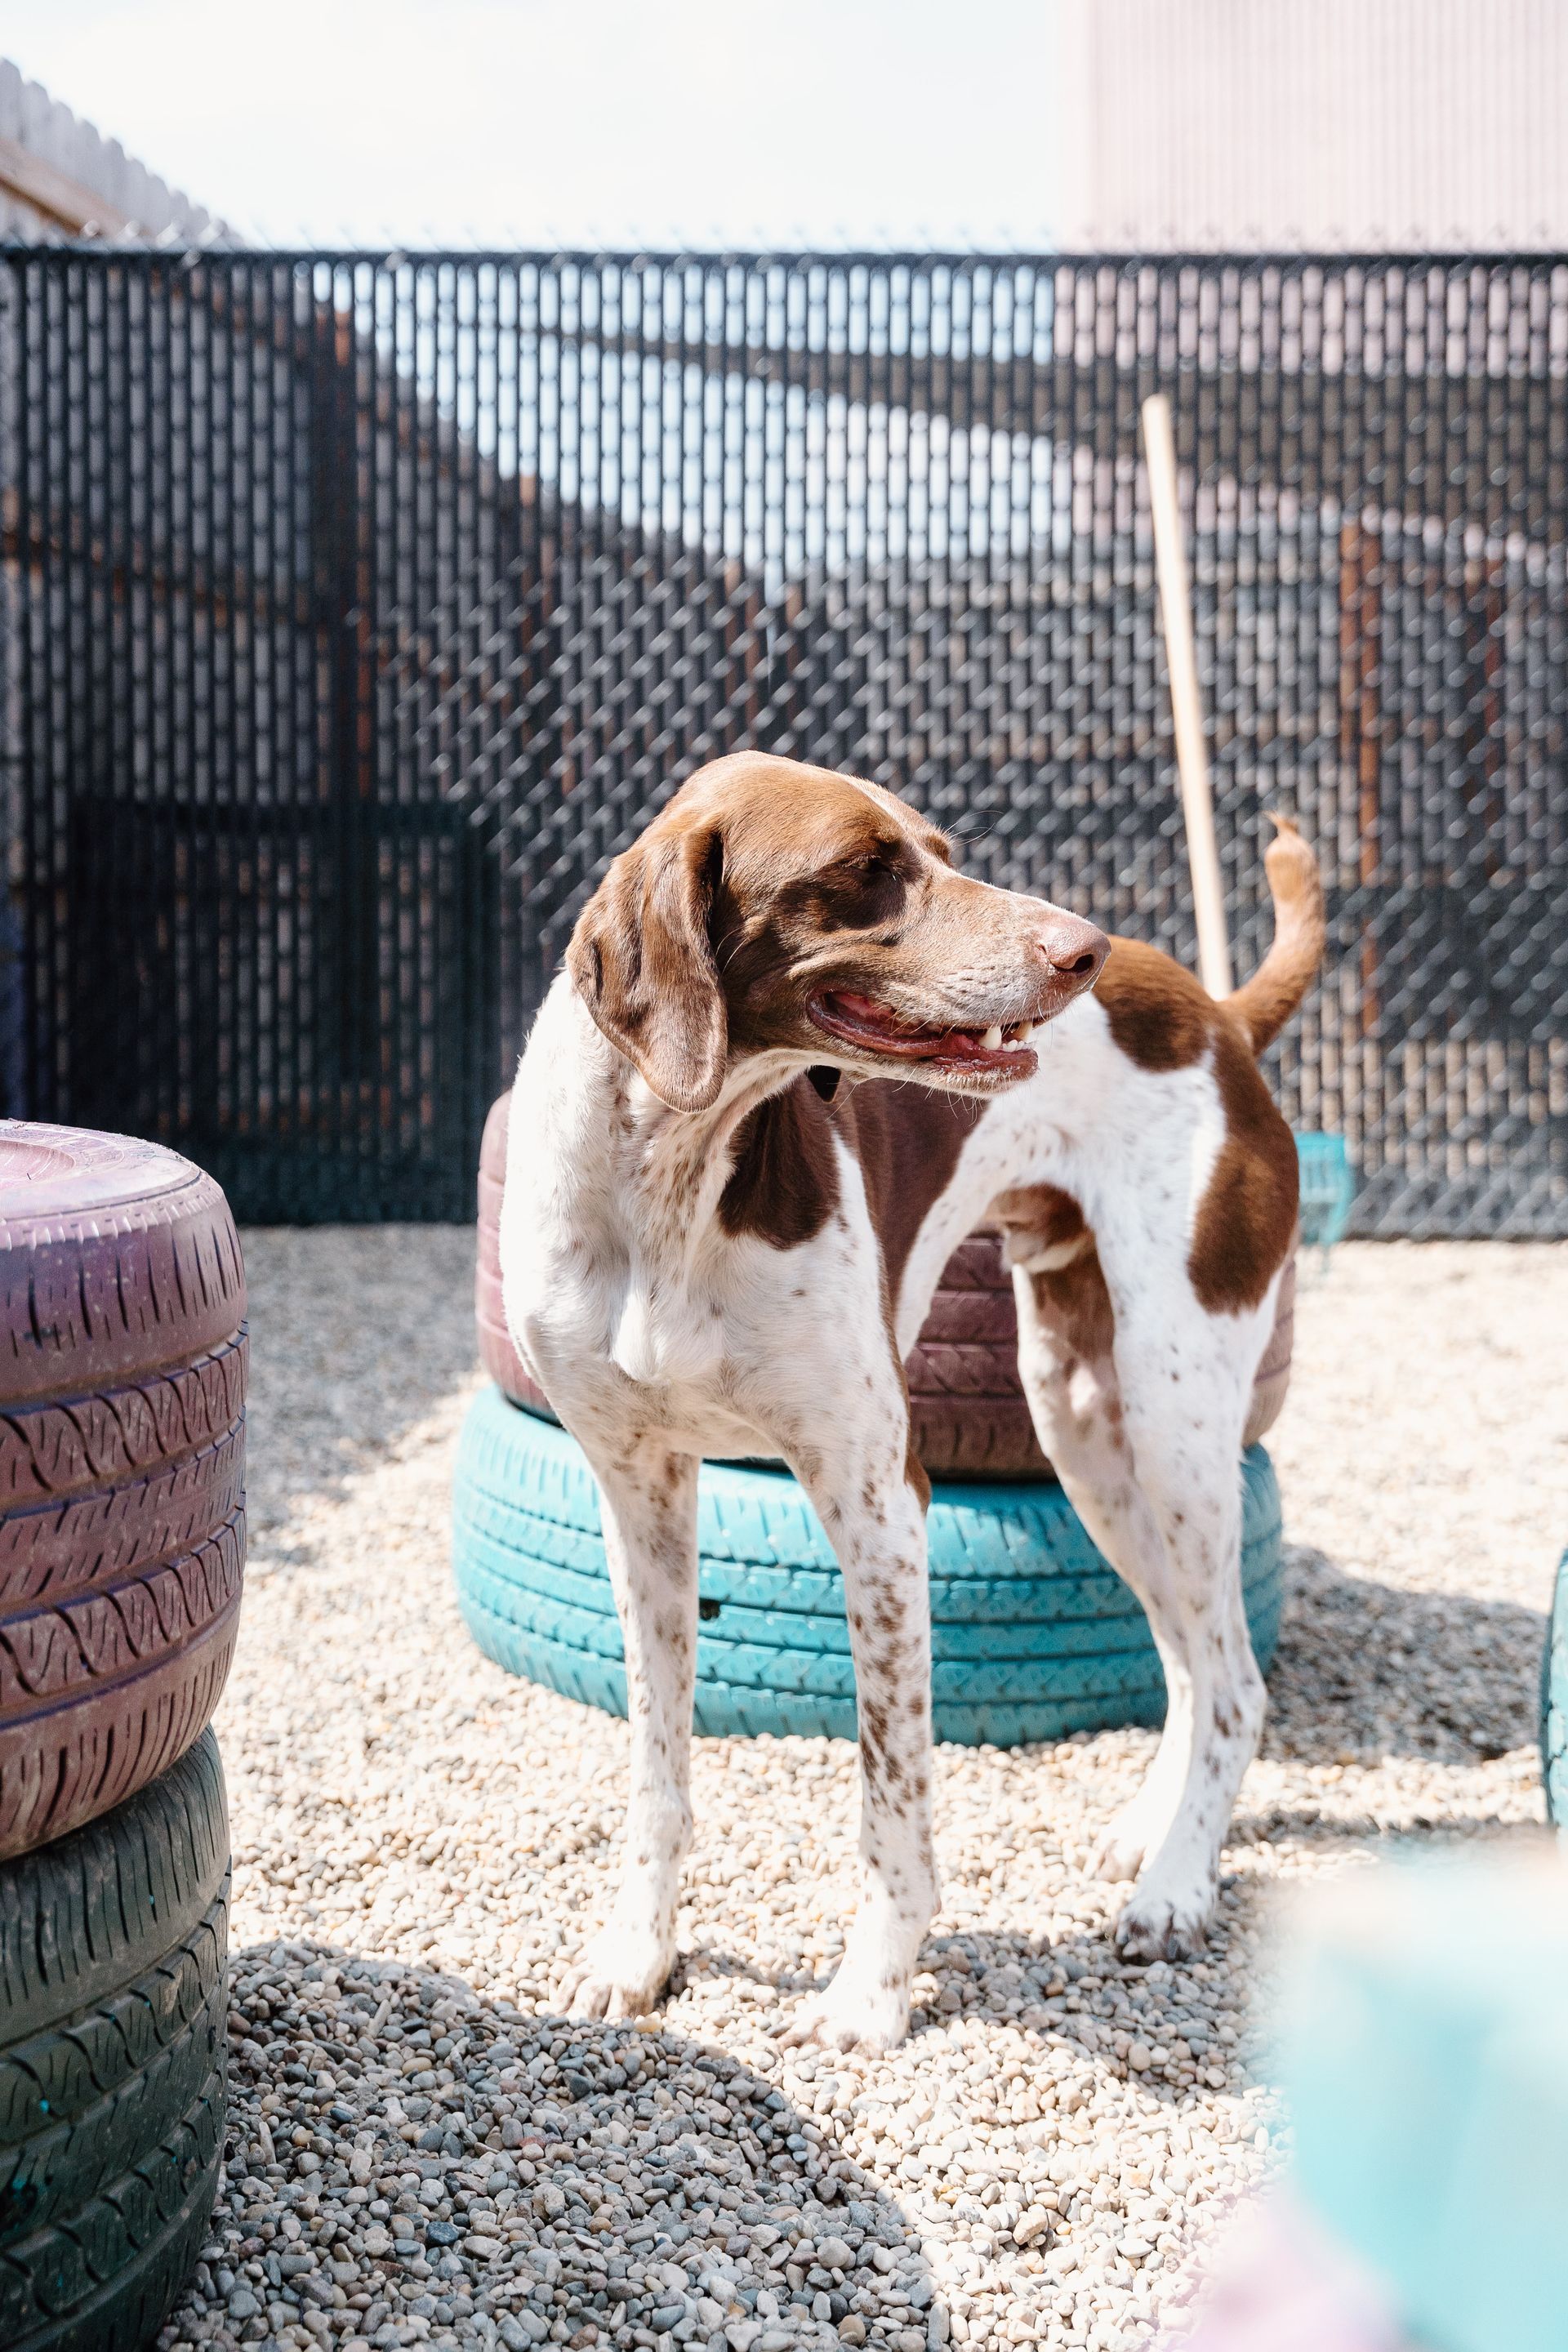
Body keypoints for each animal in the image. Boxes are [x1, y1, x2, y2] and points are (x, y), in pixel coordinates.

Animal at [503, 747, 1325, 2041]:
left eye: (942, 851)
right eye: (866, 869)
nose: (1082, 950)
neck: (670, 1174)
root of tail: (1221, 1014)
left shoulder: (881, 1504)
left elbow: (892, 1795)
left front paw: (872, 1993)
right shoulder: (637, 1495)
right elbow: (657, 1770)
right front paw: (638, 1951)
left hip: (1176, 1416)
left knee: (1237, 1678)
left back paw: (1179, 1887)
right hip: (1083, 1423)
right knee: (1192, 1660)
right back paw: (1153, 1836)